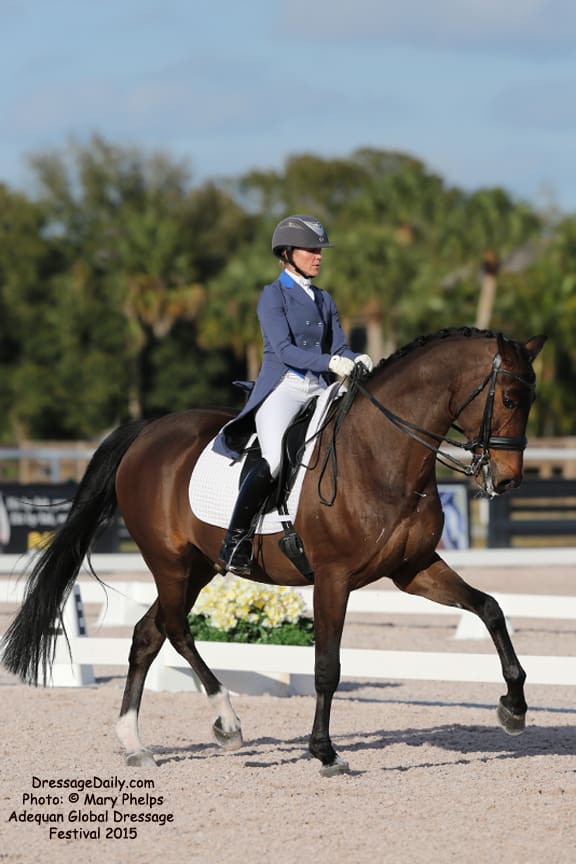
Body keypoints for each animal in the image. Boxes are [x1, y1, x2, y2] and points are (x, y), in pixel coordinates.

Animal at [1, 327, 546, 776]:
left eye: (531, 399)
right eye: (510, 398)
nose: (507, 480)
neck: (381, 453)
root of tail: (148, 431)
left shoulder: (413, 569)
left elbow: (490, 609)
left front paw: (514, 706)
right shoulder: (333, 577)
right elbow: (327, 666)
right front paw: (325, 751)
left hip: (199, 566)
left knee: (147, 635)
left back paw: (136, 744)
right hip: (170, 562)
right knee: (176, 629)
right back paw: (227, 722)